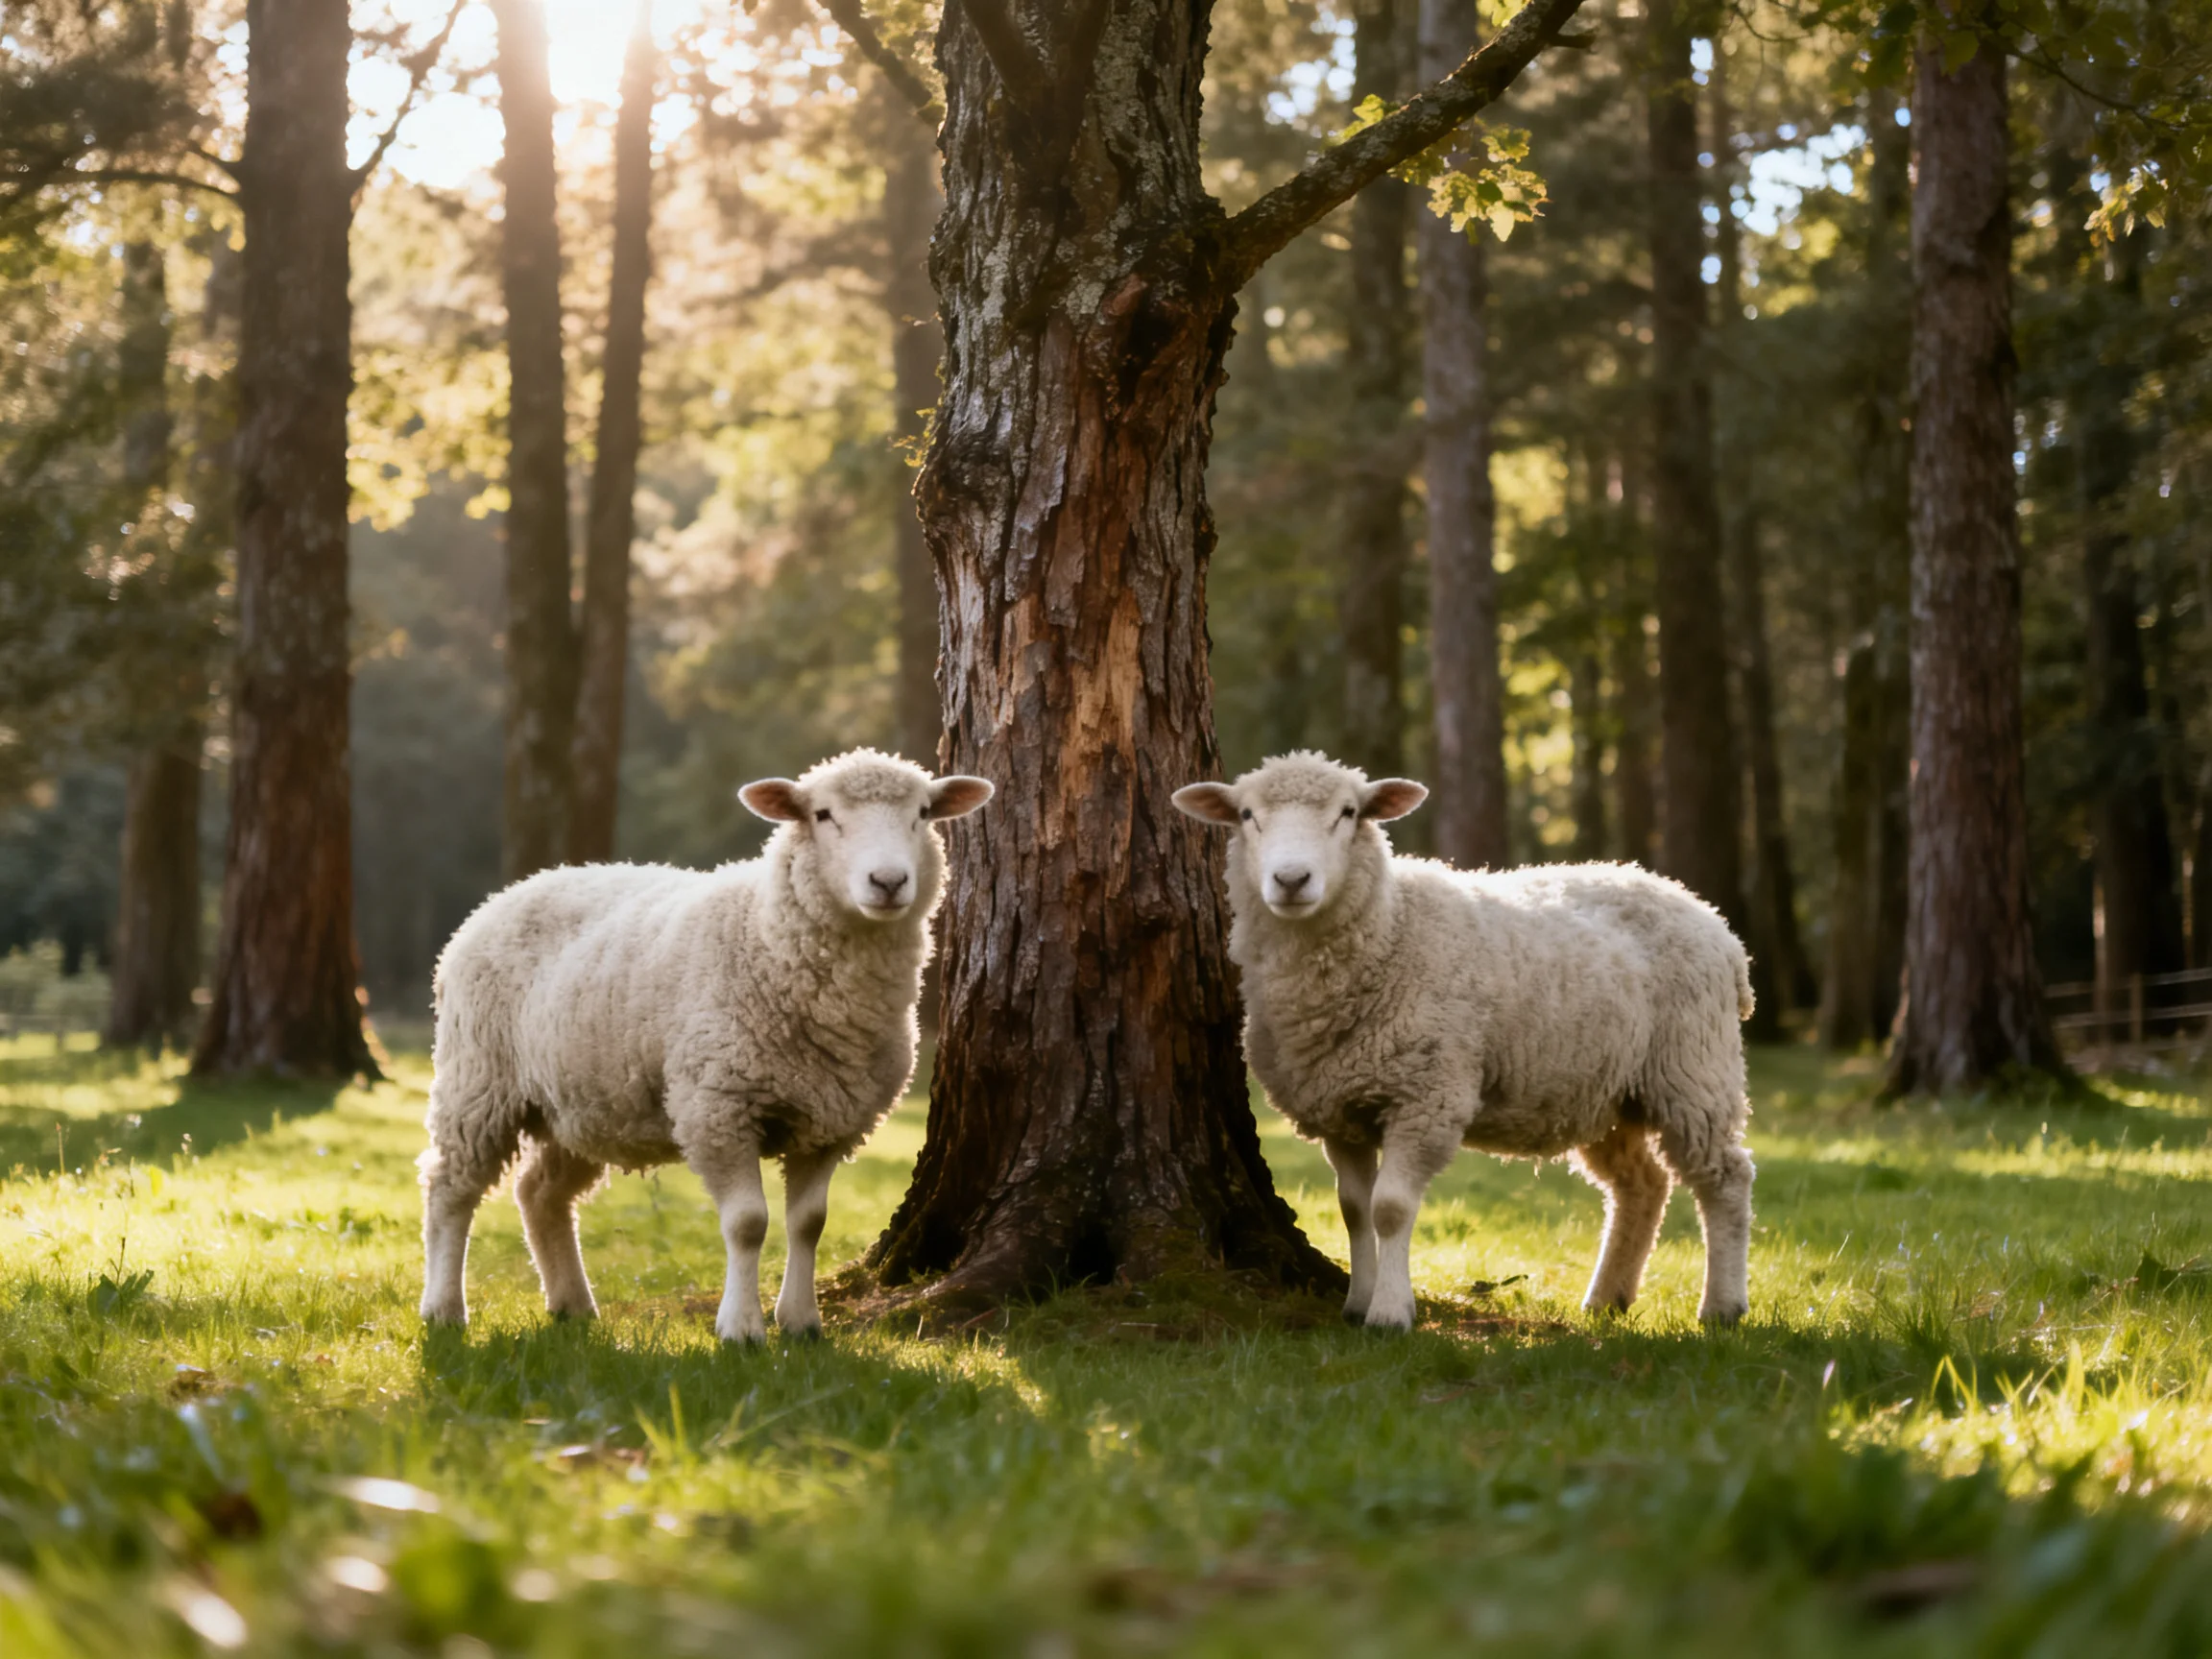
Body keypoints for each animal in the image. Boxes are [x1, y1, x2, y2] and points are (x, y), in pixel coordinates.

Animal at [418, 749, 991, 1344]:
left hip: (578, 1102)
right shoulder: (718, 1108)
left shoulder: (830, 1119)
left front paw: (801, 1322)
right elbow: (748, 1224)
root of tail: (513, 890)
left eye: (922, 813)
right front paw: (741, 1329)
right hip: (478, 1079)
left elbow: (809, 1224)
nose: (889, 881)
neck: (767, 936)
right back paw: (443, 1308)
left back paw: (572, 1304)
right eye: (823, 814)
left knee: (540, 1194)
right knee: (449, 1189)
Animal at [1173, 750, 1755, 1330]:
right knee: (1642, 1186)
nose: (1291, 879)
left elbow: (1390, 1209)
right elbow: (1354, 1210)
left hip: (1692, 1068)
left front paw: (1390, 1313)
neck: (1390, 928)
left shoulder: (1425, 1098)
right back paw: (1606, 1299)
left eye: (1348, 813)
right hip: (1607, 1089)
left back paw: (1722, 1306)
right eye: (1247, 815)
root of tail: (1713, 920)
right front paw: (1358, 1303)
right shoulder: (1341, 1107)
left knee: (1725, 1178)